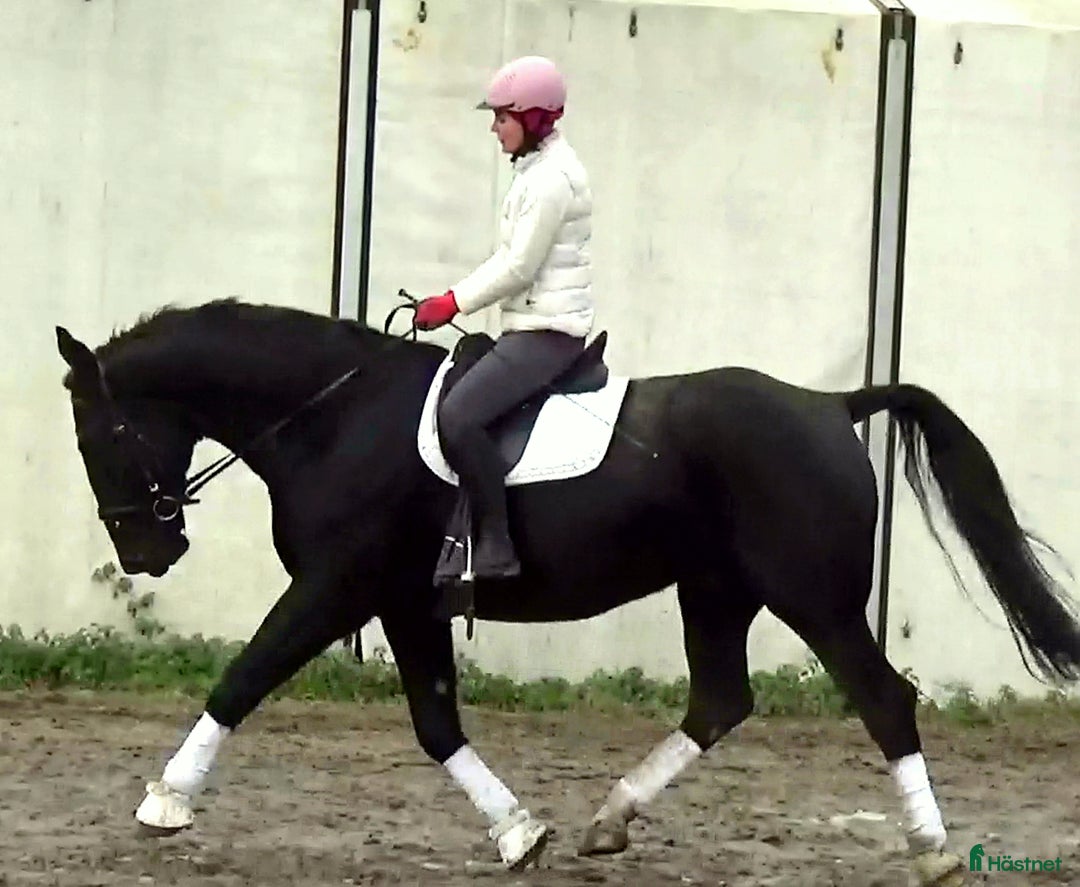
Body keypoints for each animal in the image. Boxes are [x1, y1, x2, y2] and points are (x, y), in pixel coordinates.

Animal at [54, 297, 1080, 885]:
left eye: (102, 434)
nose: (147, 551)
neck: (336, 418)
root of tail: (832, 405)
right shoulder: (405, 602)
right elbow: (436, 725)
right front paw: (521, 834)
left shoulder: (335, 585)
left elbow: (244, 677)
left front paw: (164, 802)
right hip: (716, 589)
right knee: (720, 699)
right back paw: (608, 820)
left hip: (813, 598)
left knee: (882, 698)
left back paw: (934, 849)